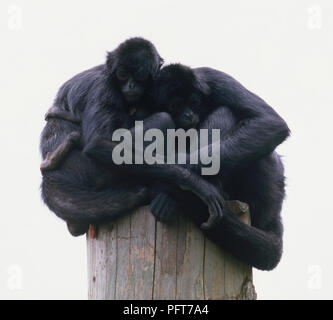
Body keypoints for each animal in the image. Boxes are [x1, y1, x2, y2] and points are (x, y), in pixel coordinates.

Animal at [84, 62, 290, 270]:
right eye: (176, 105)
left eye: (194, 101)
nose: (189, 114)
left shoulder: (214, 79)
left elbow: (271, 123)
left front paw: (177, 179)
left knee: (225, 111)